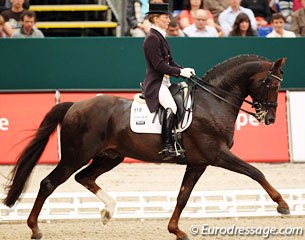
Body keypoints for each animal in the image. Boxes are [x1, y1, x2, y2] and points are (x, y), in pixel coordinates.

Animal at [2, 55, 288, 239]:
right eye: (272, 84)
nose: (271, 119)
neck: (213, 102)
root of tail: (74, 105)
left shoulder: (198, 162)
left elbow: (183, 196)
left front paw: (176, 230)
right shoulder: (217, 155)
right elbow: (256, 172)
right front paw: (282, 205)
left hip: (110, 157)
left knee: (84, 178)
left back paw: (108, 210)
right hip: (76, 156)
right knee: (49, 183)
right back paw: (35, 228)